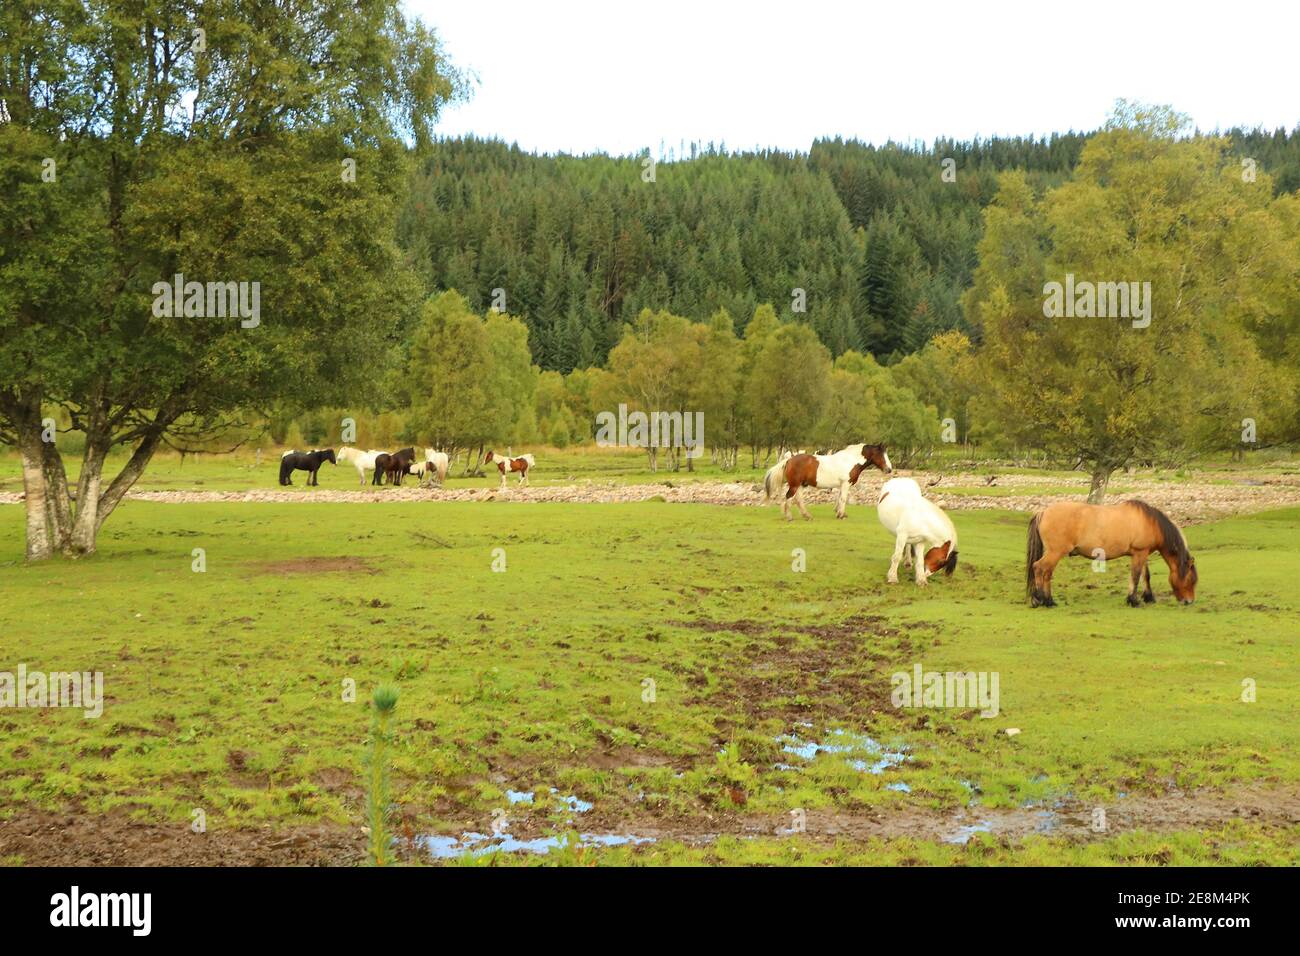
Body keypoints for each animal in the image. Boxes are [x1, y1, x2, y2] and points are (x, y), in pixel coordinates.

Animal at [759, 442, 894, 520]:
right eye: (881, 455)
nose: (889, 469)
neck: (851, 460)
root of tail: (789, 460)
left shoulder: (842, 485)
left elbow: (839, 498)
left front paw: (839, 513)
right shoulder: (845, 483)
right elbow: (843, 499)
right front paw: (841, 515)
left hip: (800, 485)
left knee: (798, 500)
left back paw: (807, 516)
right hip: (795, 485)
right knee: (789, 498)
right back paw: (789, 517)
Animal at [1024, 502, 1196, 606]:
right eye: (1190, 579)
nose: (1189, 601)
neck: (1150, 523)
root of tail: (1043, 512)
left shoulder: (1142, 554)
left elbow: (1145, 576)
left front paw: (1148, 597)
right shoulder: (1139, 553)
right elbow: (1135, 576)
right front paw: (1133, 600)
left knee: (1046, 573)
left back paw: (1049, 601)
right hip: (1055, 552)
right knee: (1039, 568)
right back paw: (1040, 599)